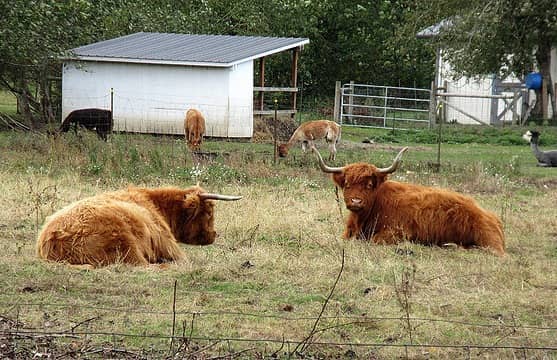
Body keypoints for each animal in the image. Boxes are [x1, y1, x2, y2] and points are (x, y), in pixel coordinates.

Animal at [310, 145, 506, 258]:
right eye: (347, 184)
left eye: (369, 185)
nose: (356, 201)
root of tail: (491, 215)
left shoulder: (396, 233)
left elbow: (374, 240)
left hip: (488, 239)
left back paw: (450, 246)